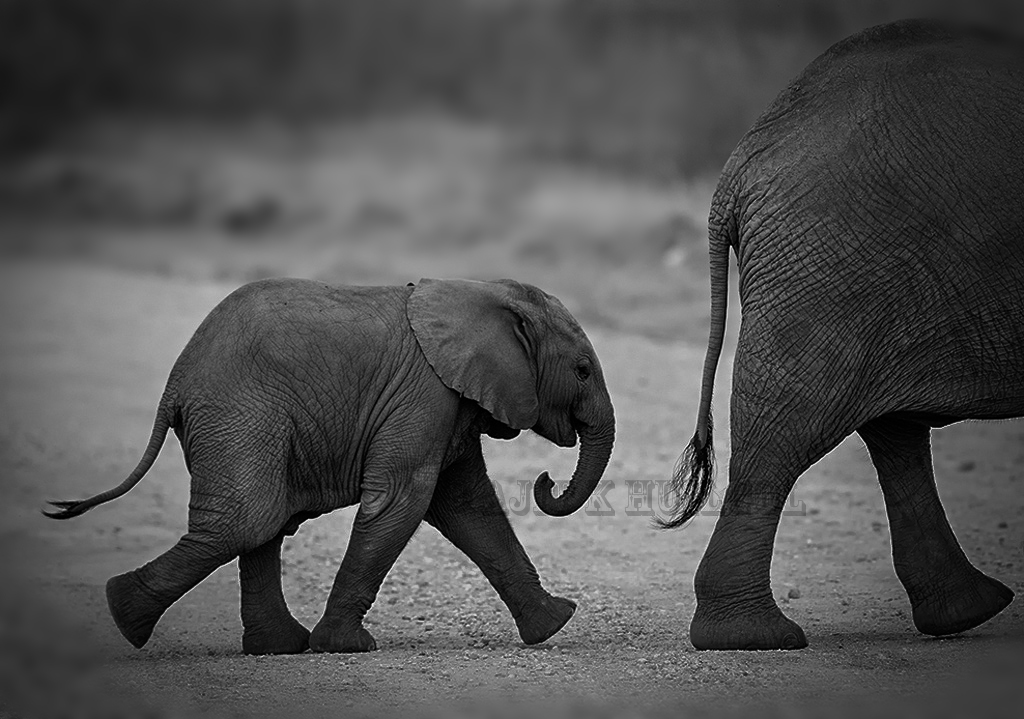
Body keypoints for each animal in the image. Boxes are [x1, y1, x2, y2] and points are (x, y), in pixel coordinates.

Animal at [45, 277, 615, 654]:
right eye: (582, 371)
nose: (546, 481)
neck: (485, 293)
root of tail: (174, 382)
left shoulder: (448, 400)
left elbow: (469, 508)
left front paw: (555, 623)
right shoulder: (424, 393)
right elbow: (403, 500)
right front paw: (346, 646)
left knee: (260, 523)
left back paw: (275, 647)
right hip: (240, 413)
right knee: (246, 520)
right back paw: (124, 615)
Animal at [660, 20, 1022, 650]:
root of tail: (741, 163)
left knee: (892, 429)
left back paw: (968, 612)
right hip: (837, 262)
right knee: (791, 420)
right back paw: (755, 636)